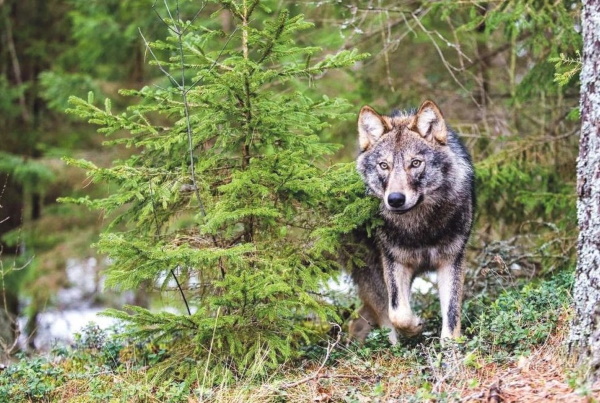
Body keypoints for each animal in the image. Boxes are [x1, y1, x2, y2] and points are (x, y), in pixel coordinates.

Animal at [350, 100, 476, 344]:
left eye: (415, 163)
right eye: (384, 165)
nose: (395, 199)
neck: (420, 229)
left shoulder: (452, 260)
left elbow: (452, 314)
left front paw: (450, 348)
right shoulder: (394, 261)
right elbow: (398, 312)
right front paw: (416, 326)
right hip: (375, 278)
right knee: (381, 317)